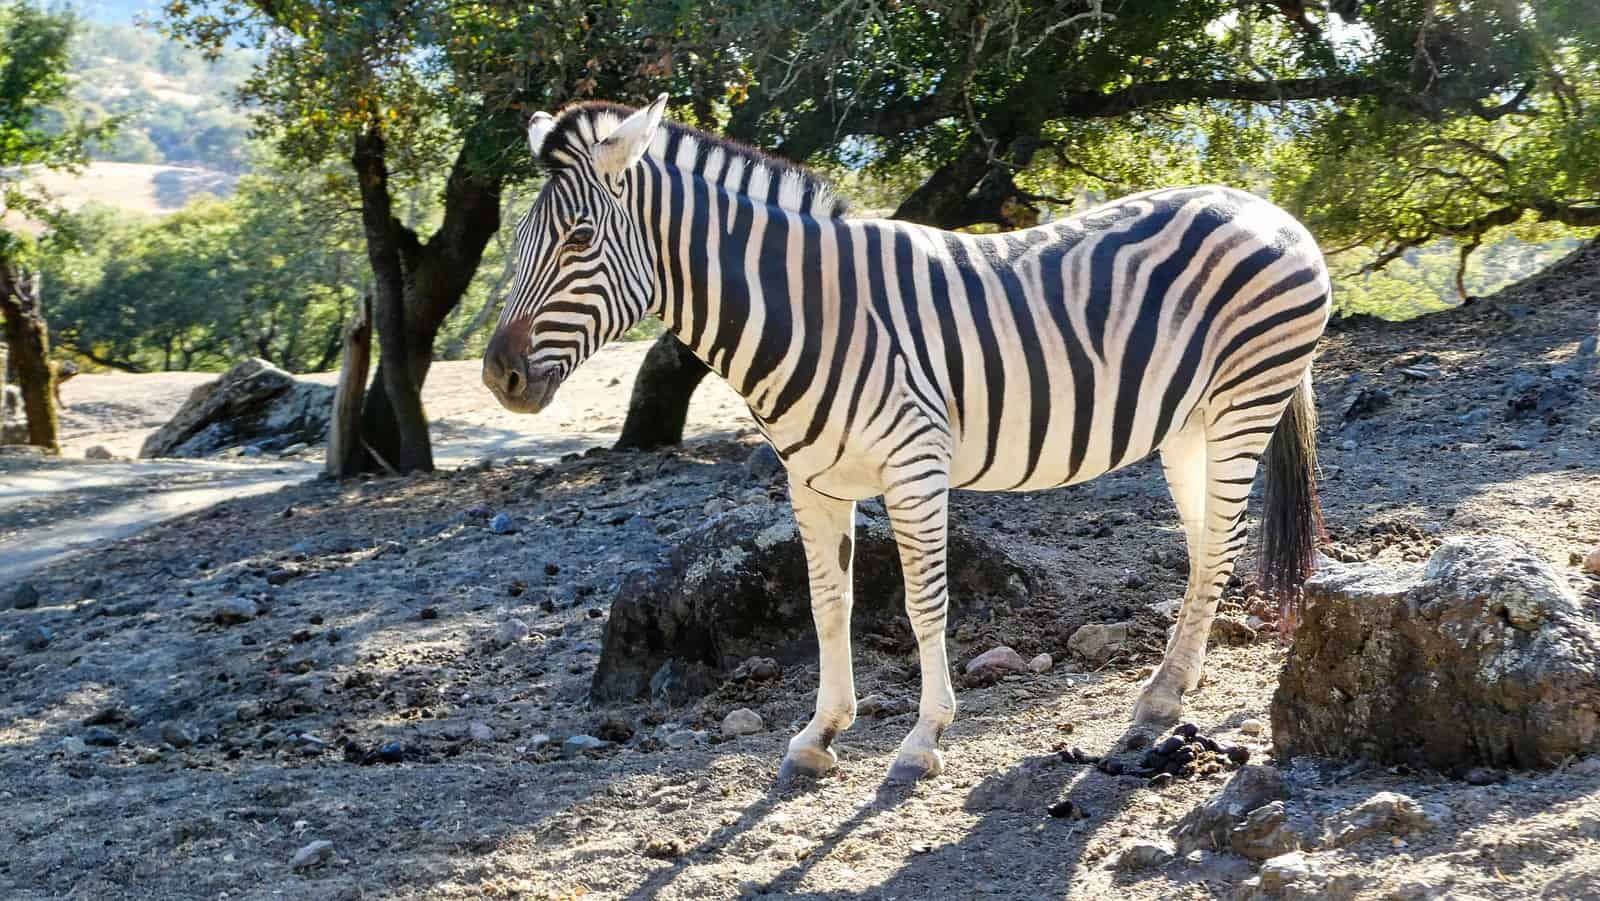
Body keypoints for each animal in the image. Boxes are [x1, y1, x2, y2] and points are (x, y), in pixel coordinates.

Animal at [483, 93, 1324, 784]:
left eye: (580, 237)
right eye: (517, 240)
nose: (498, 375)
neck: (809, 313)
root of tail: (1267, 207)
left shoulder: (915, 468)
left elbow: (925, 603)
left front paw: (924, 738)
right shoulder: (810, 480)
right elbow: (829, 603)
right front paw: (820, 732)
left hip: (1244, 400)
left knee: (1222, 540)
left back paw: (1159, 696)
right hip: (1189, 424)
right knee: (1206, 545)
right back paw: (1173, 689)